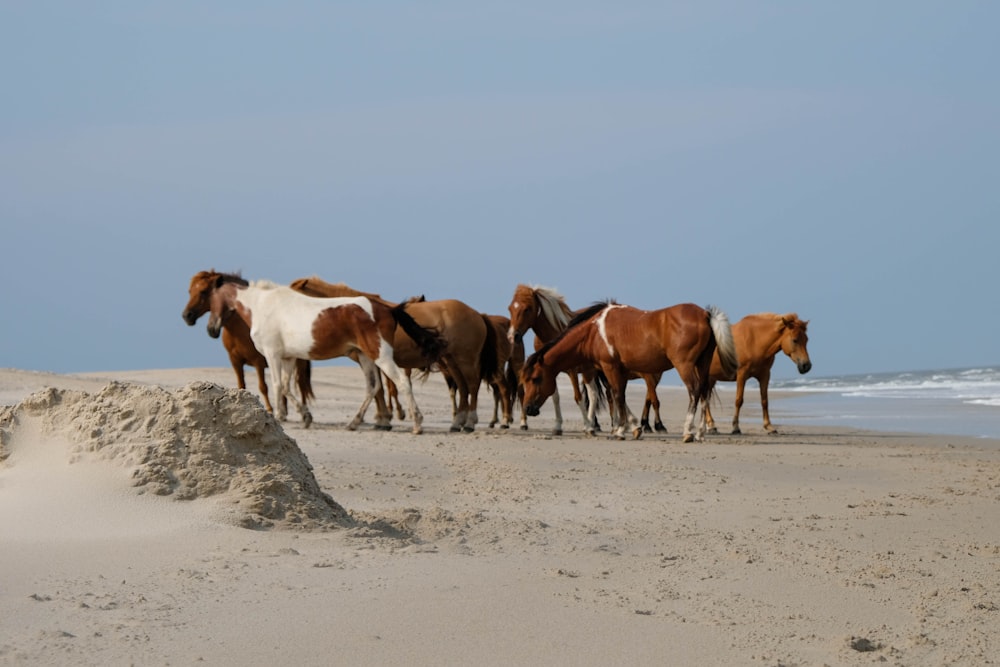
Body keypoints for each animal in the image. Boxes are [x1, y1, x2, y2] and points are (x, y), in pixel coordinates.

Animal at [183, 268, 312, 414]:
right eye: (190, 291)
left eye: (203, 291)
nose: (187, 316)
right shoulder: (235, 361)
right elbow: (241, 385)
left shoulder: (258, 362)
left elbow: (263, 386)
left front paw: (269, 409)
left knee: (300, 384)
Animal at [290, 276, 496, 434]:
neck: (345, 311)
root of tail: (477, 314)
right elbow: (378, 389)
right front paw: (383, 420)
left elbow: (378, 390)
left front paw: (383, 420)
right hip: (452, 361)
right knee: (463, 388)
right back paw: (457, 423)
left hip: (466, 360)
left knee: (472, 386)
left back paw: (469, 423)